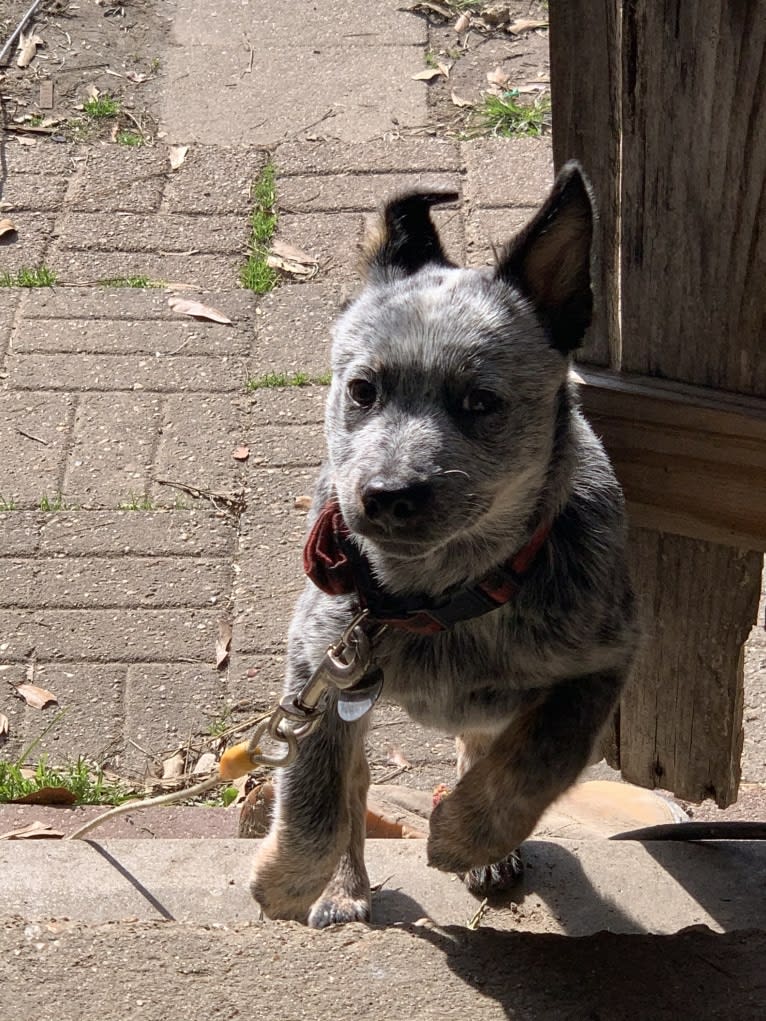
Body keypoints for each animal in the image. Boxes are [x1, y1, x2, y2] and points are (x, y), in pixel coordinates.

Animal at [252, 161, 641, 927]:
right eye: (363, 390)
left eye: (480, 402)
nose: (387, 492)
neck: (439, 599)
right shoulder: (319, 660)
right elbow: (318, 790)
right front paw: (289, 879)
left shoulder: (603, 663)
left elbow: (537, 760)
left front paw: (467, 837)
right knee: (355, 784)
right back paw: (344, 884)